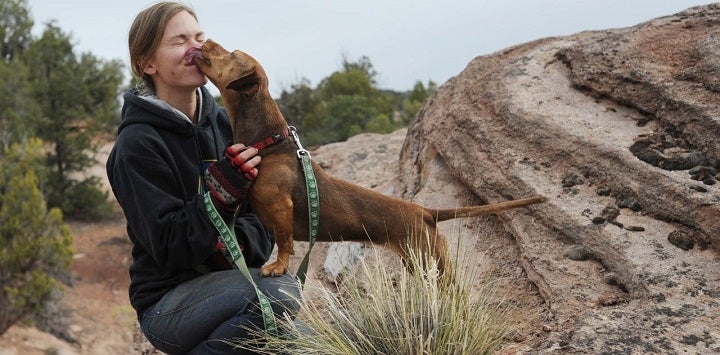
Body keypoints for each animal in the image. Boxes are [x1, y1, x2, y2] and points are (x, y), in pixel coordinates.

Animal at [194, 41, 544, 278]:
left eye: (232, 53)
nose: (204, 41)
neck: (268, 143)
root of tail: (424, 212)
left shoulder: (281, 209)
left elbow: (284, 243)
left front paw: (278, 266)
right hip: (419, 263)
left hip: (432, 263)